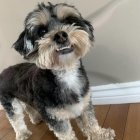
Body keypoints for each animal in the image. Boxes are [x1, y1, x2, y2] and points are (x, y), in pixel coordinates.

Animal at [0, 2, 115, 140]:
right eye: (42, 31)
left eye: (69, 21)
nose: (60, 35)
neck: (66, 72)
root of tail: (4, 71)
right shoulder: (55, 117)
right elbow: (66, 134)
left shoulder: (84, 105)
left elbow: (90, 122)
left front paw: (100, 134)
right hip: (10, 102)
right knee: (16, 119)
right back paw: (22, 133)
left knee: (29, 108)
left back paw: (36, 118)